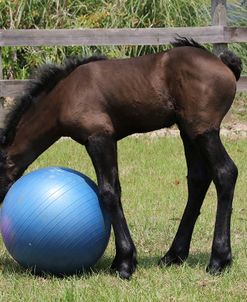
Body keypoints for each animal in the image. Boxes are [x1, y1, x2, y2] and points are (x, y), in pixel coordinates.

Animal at [0, 37, 242, 278]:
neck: (64, 96)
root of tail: (222, 63)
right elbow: (115, 189)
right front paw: (123, 259)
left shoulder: (99, 138)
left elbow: (108, 192)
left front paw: (125, 263)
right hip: (188, 131)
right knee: (198, 179)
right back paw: (174, 255)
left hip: (204, 131)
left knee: (225, 172)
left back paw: (218, 260)